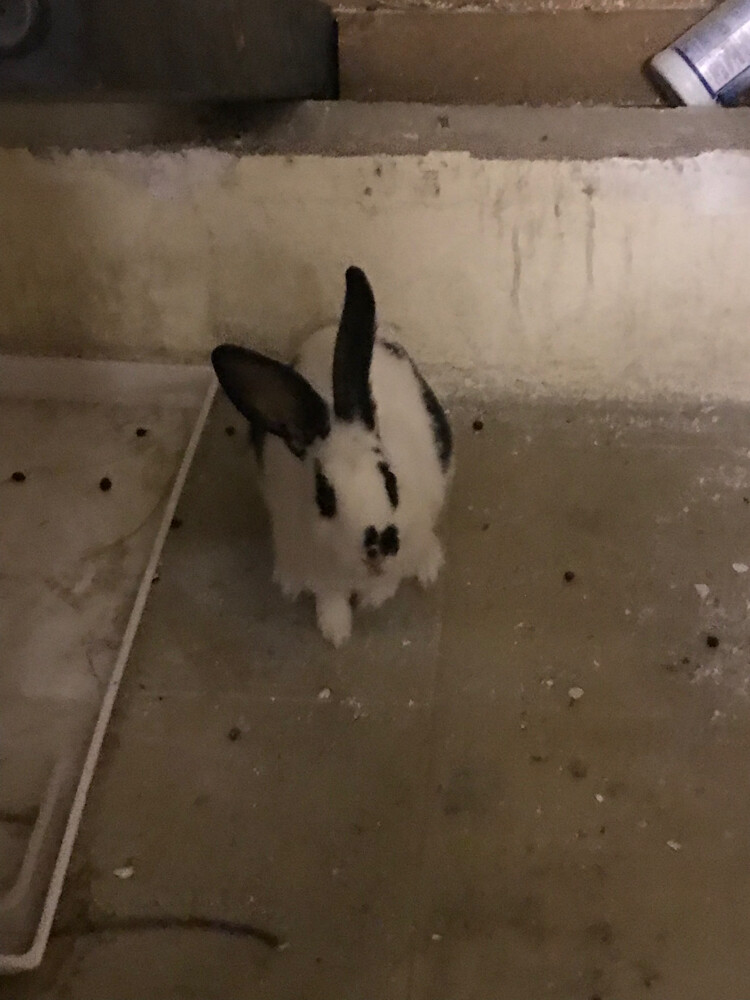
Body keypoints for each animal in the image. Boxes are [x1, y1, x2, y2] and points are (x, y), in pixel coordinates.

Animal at [211, 266, 453, 647]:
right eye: (324, 496)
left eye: (390, 478)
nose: (379, 543)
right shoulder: (316, 567)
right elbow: (330, 598)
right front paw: (336, 632)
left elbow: (388, 582)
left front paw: (372, 600)